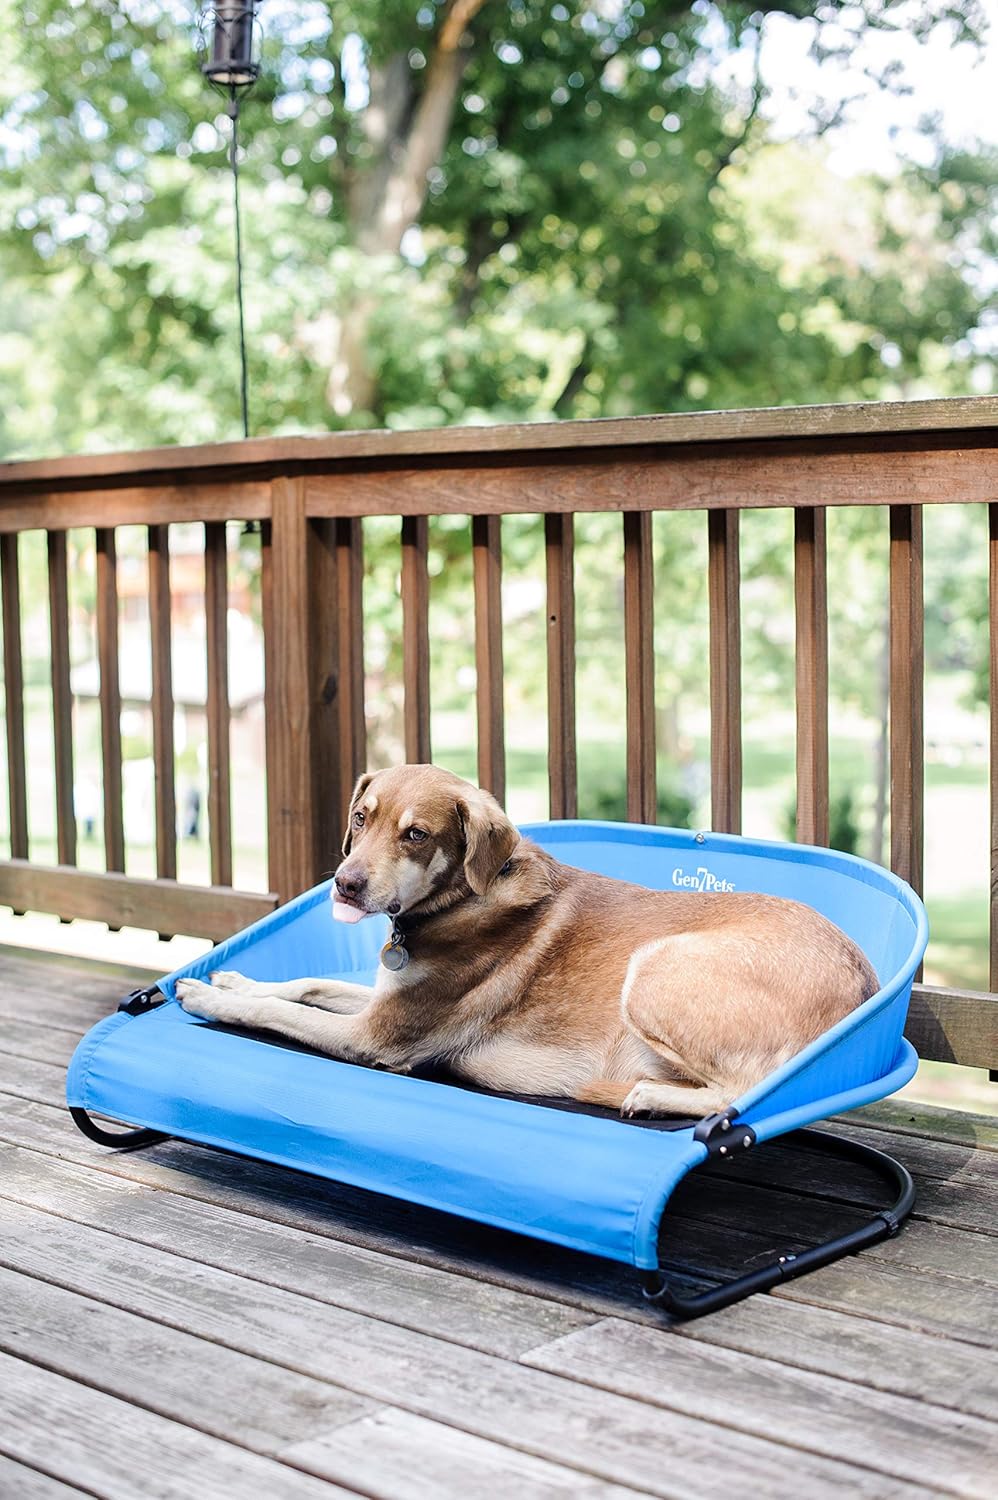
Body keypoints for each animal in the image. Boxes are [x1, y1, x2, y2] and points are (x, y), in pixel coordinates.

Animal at [174, 768, 876, 1122]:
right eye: (360, 818)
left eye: (417, 835)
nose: (345, 885)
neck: (460, 900)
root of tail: (864, 982)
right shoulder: (383, 999)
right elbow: (306, 985)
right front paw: (233, 977)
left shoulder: (377, 1038)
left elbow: (276, 1011)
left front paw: (208, 996)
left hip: (656, 967)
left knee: (747, 1090)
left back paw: (647, 1096)